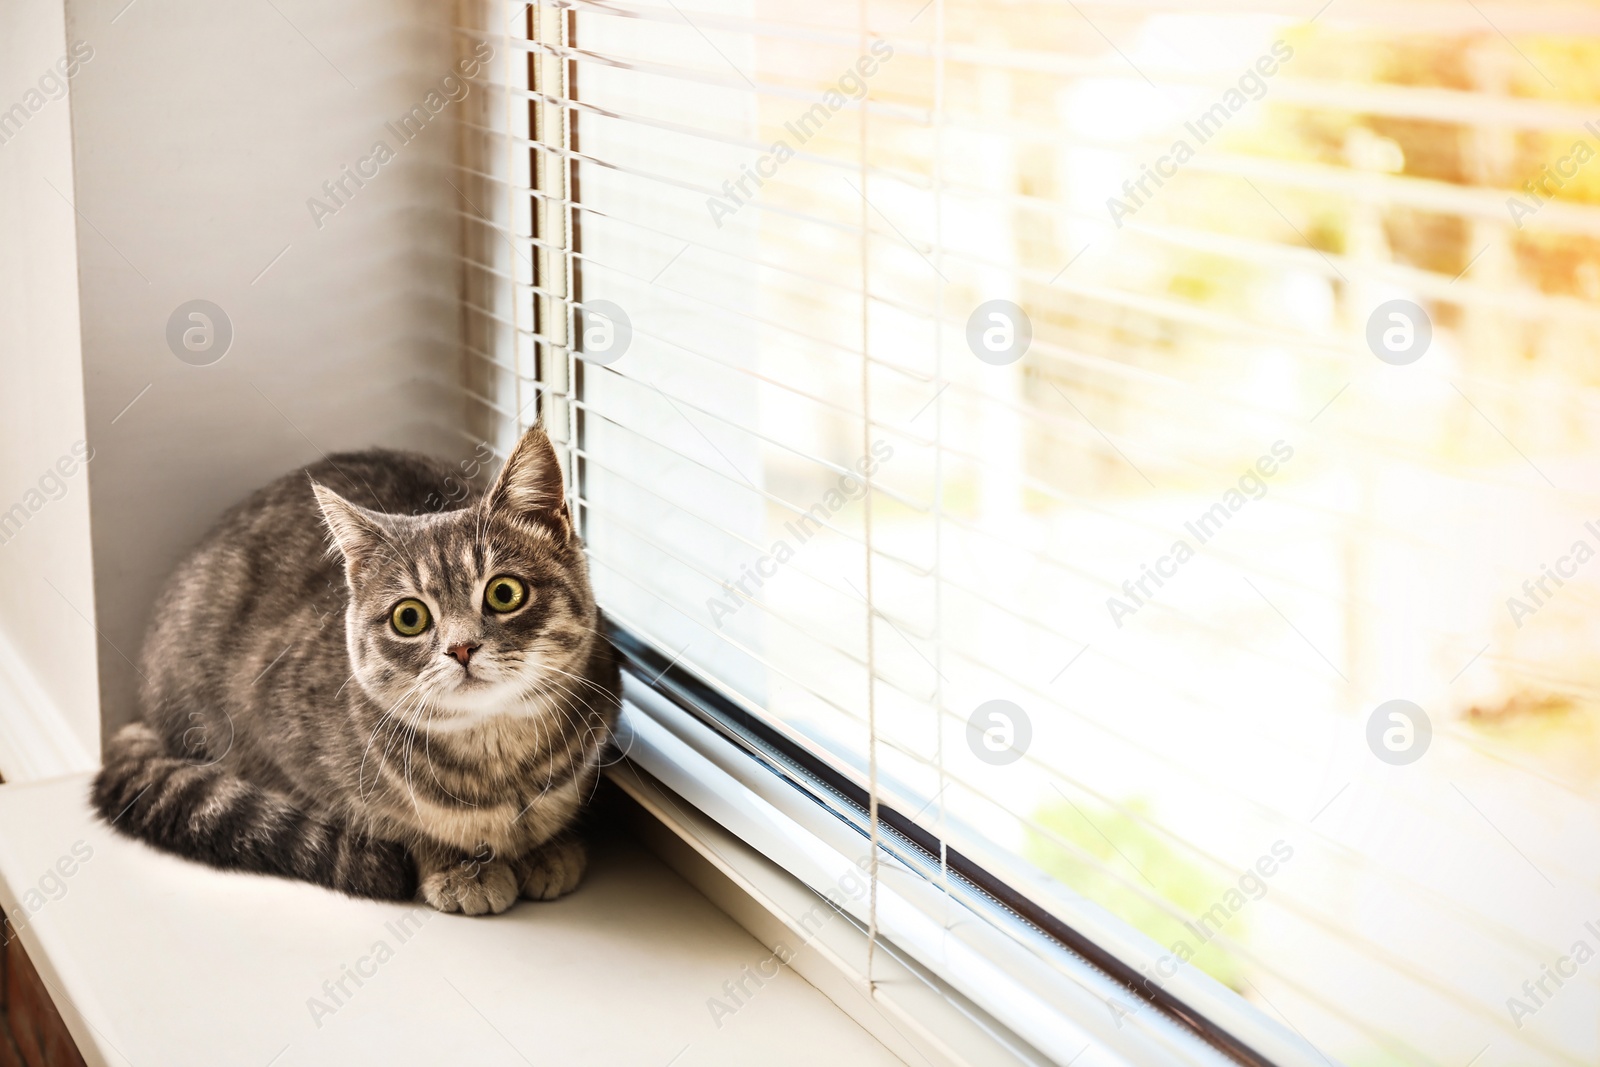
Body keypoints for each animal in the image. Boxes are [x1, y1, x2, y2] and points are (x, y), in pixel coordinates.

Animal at [89, 425, 617, 921]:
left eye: (504, 593)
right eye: (409, 617)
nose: (461, 648)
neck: (498, 757)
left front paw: (545, 848)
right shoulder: (282, 743)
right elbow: (396, 821)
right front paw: (456, 865)